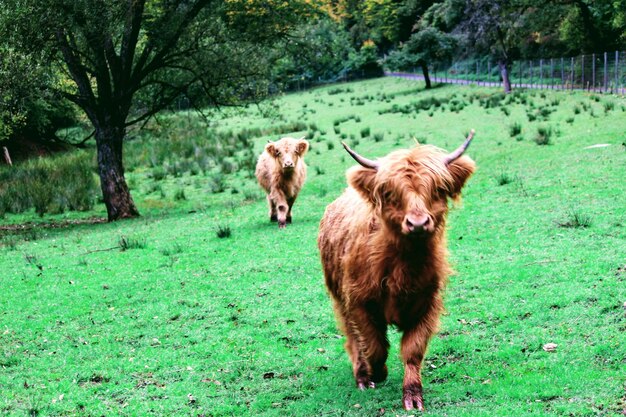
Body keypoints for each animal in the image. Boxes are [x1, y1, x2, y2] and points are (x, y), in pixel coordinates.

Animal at [320, 131, 476, 410]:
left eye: (438, 189)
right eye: (390, 192)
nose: (418, 223)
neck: (405, 266)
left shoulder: (427, 305)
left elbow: (413, 351)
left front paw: (413, 394)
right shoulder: (358, 302)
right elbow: (374, 345)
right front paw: (377, 373)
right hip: (339, 298)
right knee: (352, 338)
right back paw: (362, 376)